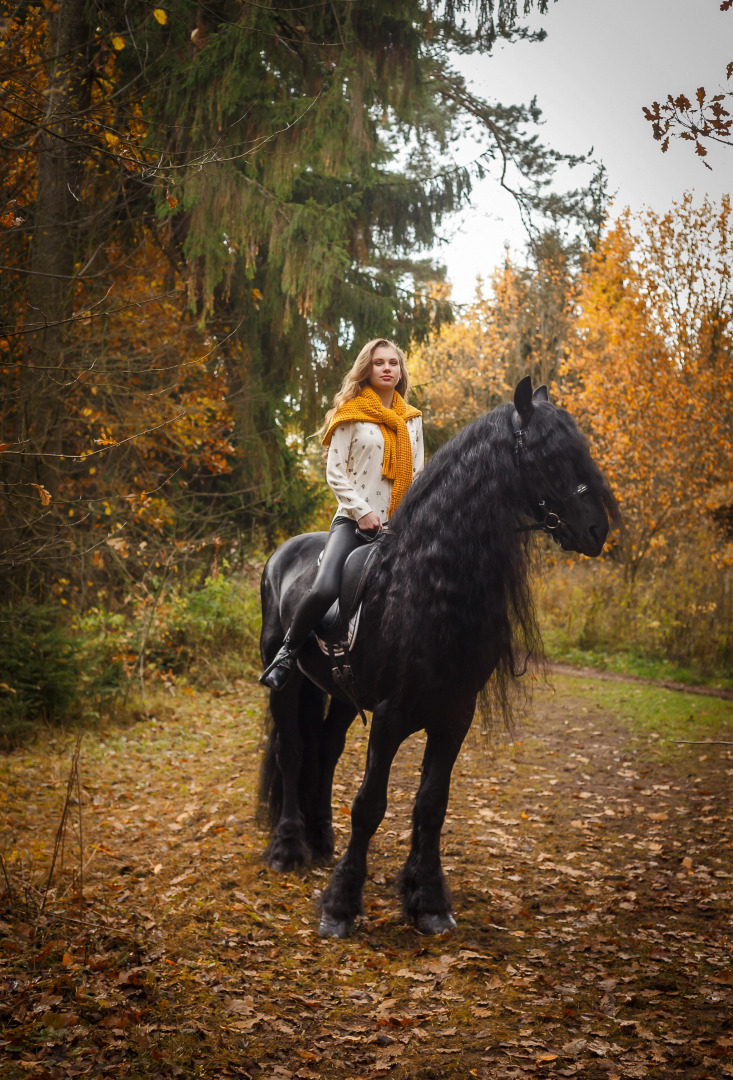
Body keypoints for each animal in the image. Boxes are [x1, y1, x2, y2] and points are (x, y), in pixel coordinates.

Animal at [261, 380, 617, 937]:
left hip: (340, 694)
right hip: (291, 682)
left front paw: (427, 900)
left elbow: (432, 804)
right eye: (550, 455)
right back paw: (287, 848)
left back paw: (320, 842)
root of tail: (283, 553)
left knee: (326, 749)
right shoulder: (391, 716)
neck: (428, 585)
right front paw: (341, 906)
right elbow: (370, 805)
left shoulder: (454, 715)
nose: (597, 530)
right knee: (293, 751)